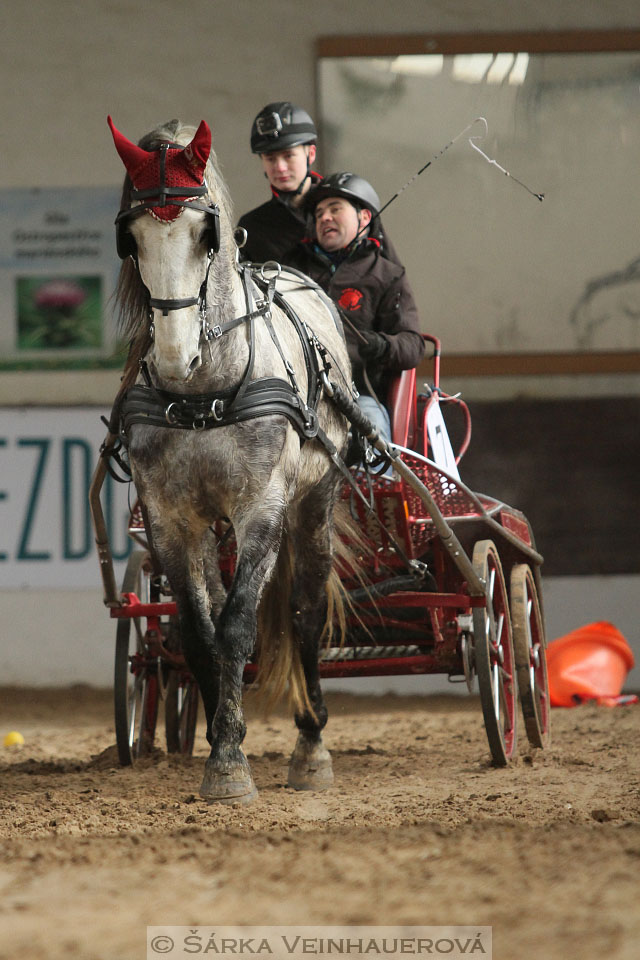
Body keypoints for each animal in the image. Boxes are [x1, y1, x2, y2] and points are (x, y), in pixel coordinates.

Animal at [110, 120, 350, 808]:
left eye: (205, 232)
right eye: (130, 236)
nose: (175, 354)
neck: (200, 396)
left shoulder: (261, 506)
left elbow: (241, 626)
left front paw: (228, 763)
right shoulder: (170, 519)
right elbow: (199, 632)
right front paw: (223, 740)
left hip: (314, 503)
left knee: (303, 611)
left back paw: (311, 743)